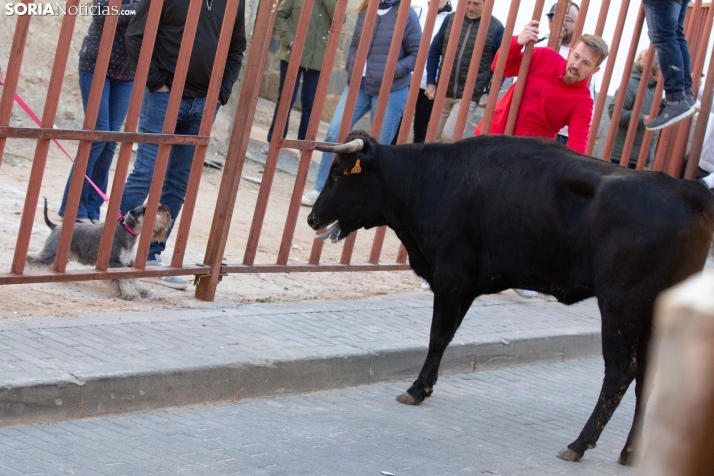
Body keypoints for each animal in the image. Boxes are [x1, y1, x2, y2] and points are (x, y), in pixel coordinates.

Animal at [27, 199, 174, 300]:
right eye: (145, 209)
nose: (166, 210)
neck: (127, 231)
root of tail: (56, 226)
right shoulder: (116, 263)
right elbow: (124, 280)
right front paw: (129, 294)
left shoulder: (128, 264)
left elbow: (134, 279)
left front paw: (143, 291)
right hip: (50, 252)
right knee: (31, 259)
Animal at [304, 130, 712, 464]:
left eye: (339, 173)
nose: (311, 219)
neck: (430, 180)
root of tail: (685, 190)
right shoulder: (467, 285)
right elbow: (445, 338)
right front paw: (426, 385)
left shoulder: (450, 277)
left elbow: (436, 336)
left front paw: (416, 388)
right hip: (652, 313)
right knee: (649, 374)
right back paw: (630, 452)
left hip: (621, 306)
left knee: (620, 373)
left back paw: (579, 444)